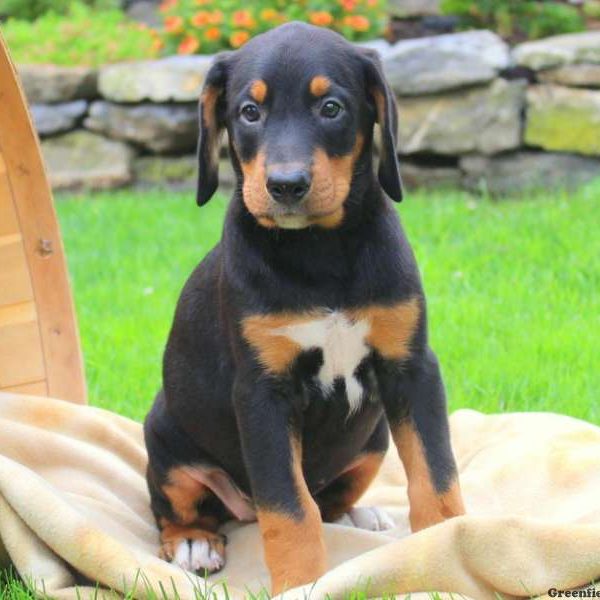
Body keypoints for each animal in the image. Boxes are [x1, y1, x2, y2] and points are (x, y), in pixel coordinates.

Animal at [144, 21, 464, 592]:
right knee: (173, 507)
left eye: (331, 108)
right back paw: (193, 541)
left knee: (332, 499)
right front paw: (301, 583)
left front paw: (449, 546)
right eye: (249, 112)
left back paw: (361, 516)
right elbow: (289, 508)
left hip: (374, 438)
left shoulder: (412, 367)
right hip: (165, 437)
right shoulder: (263, 393)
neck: (320, 252)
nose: (286, 185)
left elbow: (436, 474)